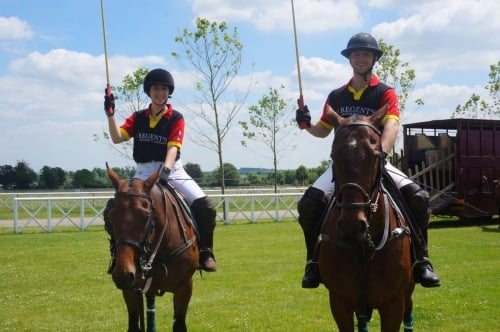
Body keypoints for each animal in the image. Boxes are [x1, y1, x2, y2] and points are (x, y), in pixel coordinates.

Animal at [106, 165, 198, 332]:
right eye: (110, 216)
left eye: (146, 217)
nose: (122, 275)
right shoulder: (132, 290)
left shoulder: (185, 286)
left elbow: (179, 325)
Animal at [320, 106, 414, 332]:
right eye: (334, 155)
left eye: (375, 155)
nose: (353, 225)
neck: (363, 247)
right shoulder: (339, 302)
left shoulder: (393, 303)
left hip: (409, 290)